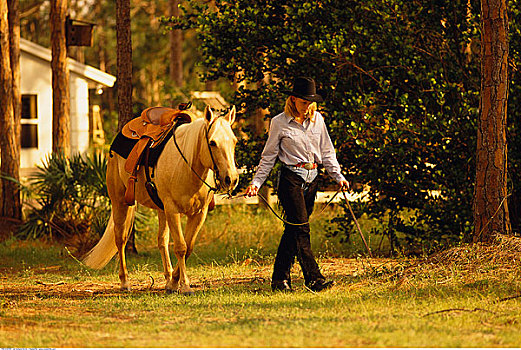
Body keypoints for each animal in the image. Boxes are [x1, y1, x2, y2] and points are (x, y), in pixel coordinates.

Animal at [82, 105, 239, 294]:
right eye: (212, 143)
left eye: (234, 141)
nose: (231, 179)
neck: (187, 165)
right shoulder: (172, 209)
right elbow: (181, 247)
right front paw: (184, 285)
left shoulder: (199, 214)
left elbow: (188, 247)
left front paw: (173, 282)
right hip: (120, 201)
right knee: (120, 239)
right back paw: (125, 281)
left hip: (160, 209)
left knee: (162, 240)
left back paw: (167, 277)